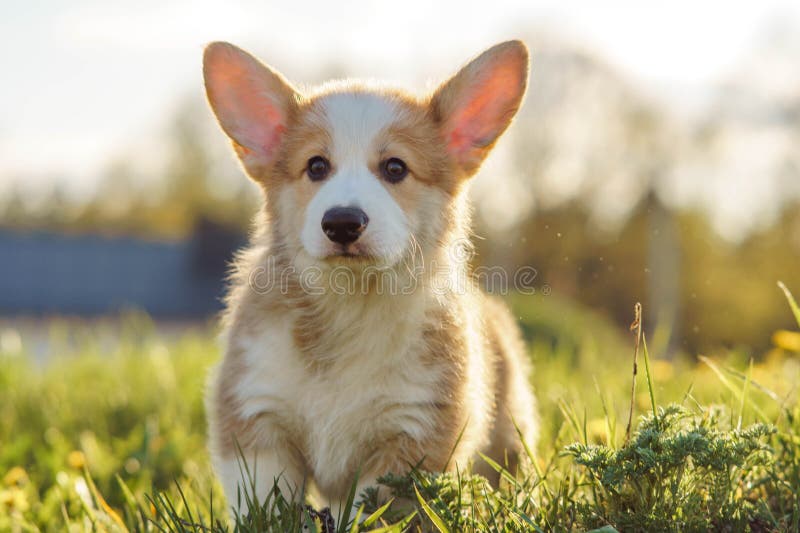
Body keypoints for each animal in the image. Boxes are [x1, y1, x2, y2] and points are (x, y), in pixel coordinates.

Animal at [203, 39, 536, 512]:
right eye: (316, 166)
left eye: (395, 168)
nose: (342, 222)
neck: (351, 305)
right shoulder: (257, 415)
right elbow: (266, 504)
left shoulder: (410, 433)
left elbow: (373, 511)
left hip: (509, 438)